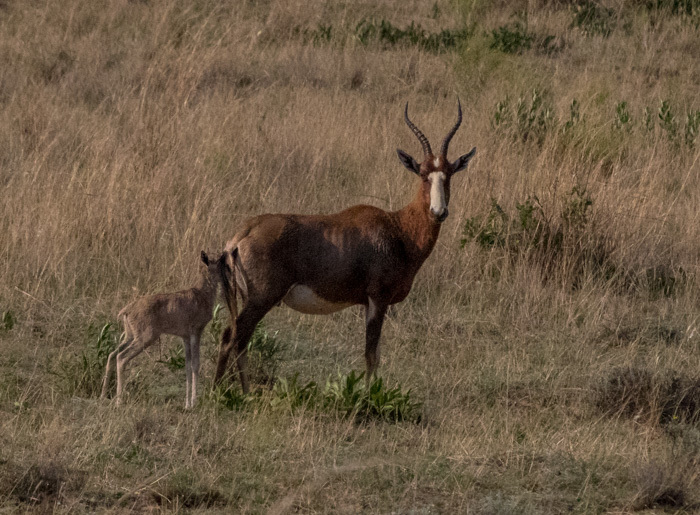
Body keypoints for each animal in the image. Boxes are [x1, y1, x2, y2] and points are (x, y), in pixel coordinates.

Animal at [101, 252, 224, 410]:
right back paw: (119, 401)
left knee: (112, 354)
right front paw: (194, 403)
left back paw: (103, 396)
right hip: (145, 338)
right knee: (121, 357)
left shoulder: (185, 337)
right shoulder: (196, 333)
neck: (201, 294)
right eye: (220, 262)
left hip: (130, 336)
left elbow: (187, 366)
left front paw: (187, 404)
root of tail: (127, 310)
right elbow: (195, 364)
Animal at [215, 101, 476, 394]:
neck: (396, 227)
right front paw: (367, 397)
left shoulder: (369, 303)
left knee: (239, 339)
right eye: (422, 174)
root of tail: (241, 236)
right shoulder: (378, 299)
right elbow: (371, 354)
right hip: (261, 299)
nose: (439, 212)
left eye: (449, 174)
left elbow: (373, 354)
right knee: (232, 337)